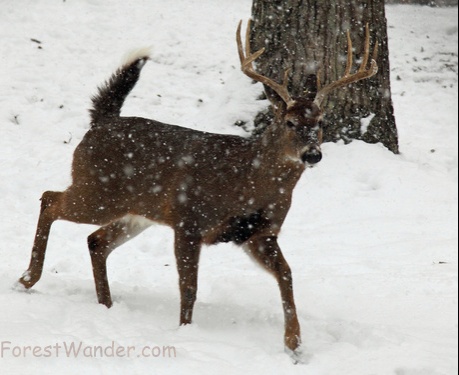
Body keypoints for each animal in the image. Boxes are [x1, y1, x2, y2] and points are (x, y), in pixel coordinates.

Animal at [17, 21, 378, 358]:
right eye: (289, 122)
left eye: (320, 122)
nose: (312, 155)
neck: (246, 183)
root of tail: (100, 122)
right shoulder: (189, 219)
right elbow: (189, 286)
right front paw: (185, 332)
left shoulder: (260, 232)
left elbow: (287, 274)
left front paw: (294, 344)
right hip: (98, 192)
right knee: (49, 199)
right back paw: (27, 279)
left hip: (136, 213)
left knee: (96, 241)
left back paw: (105, 305)